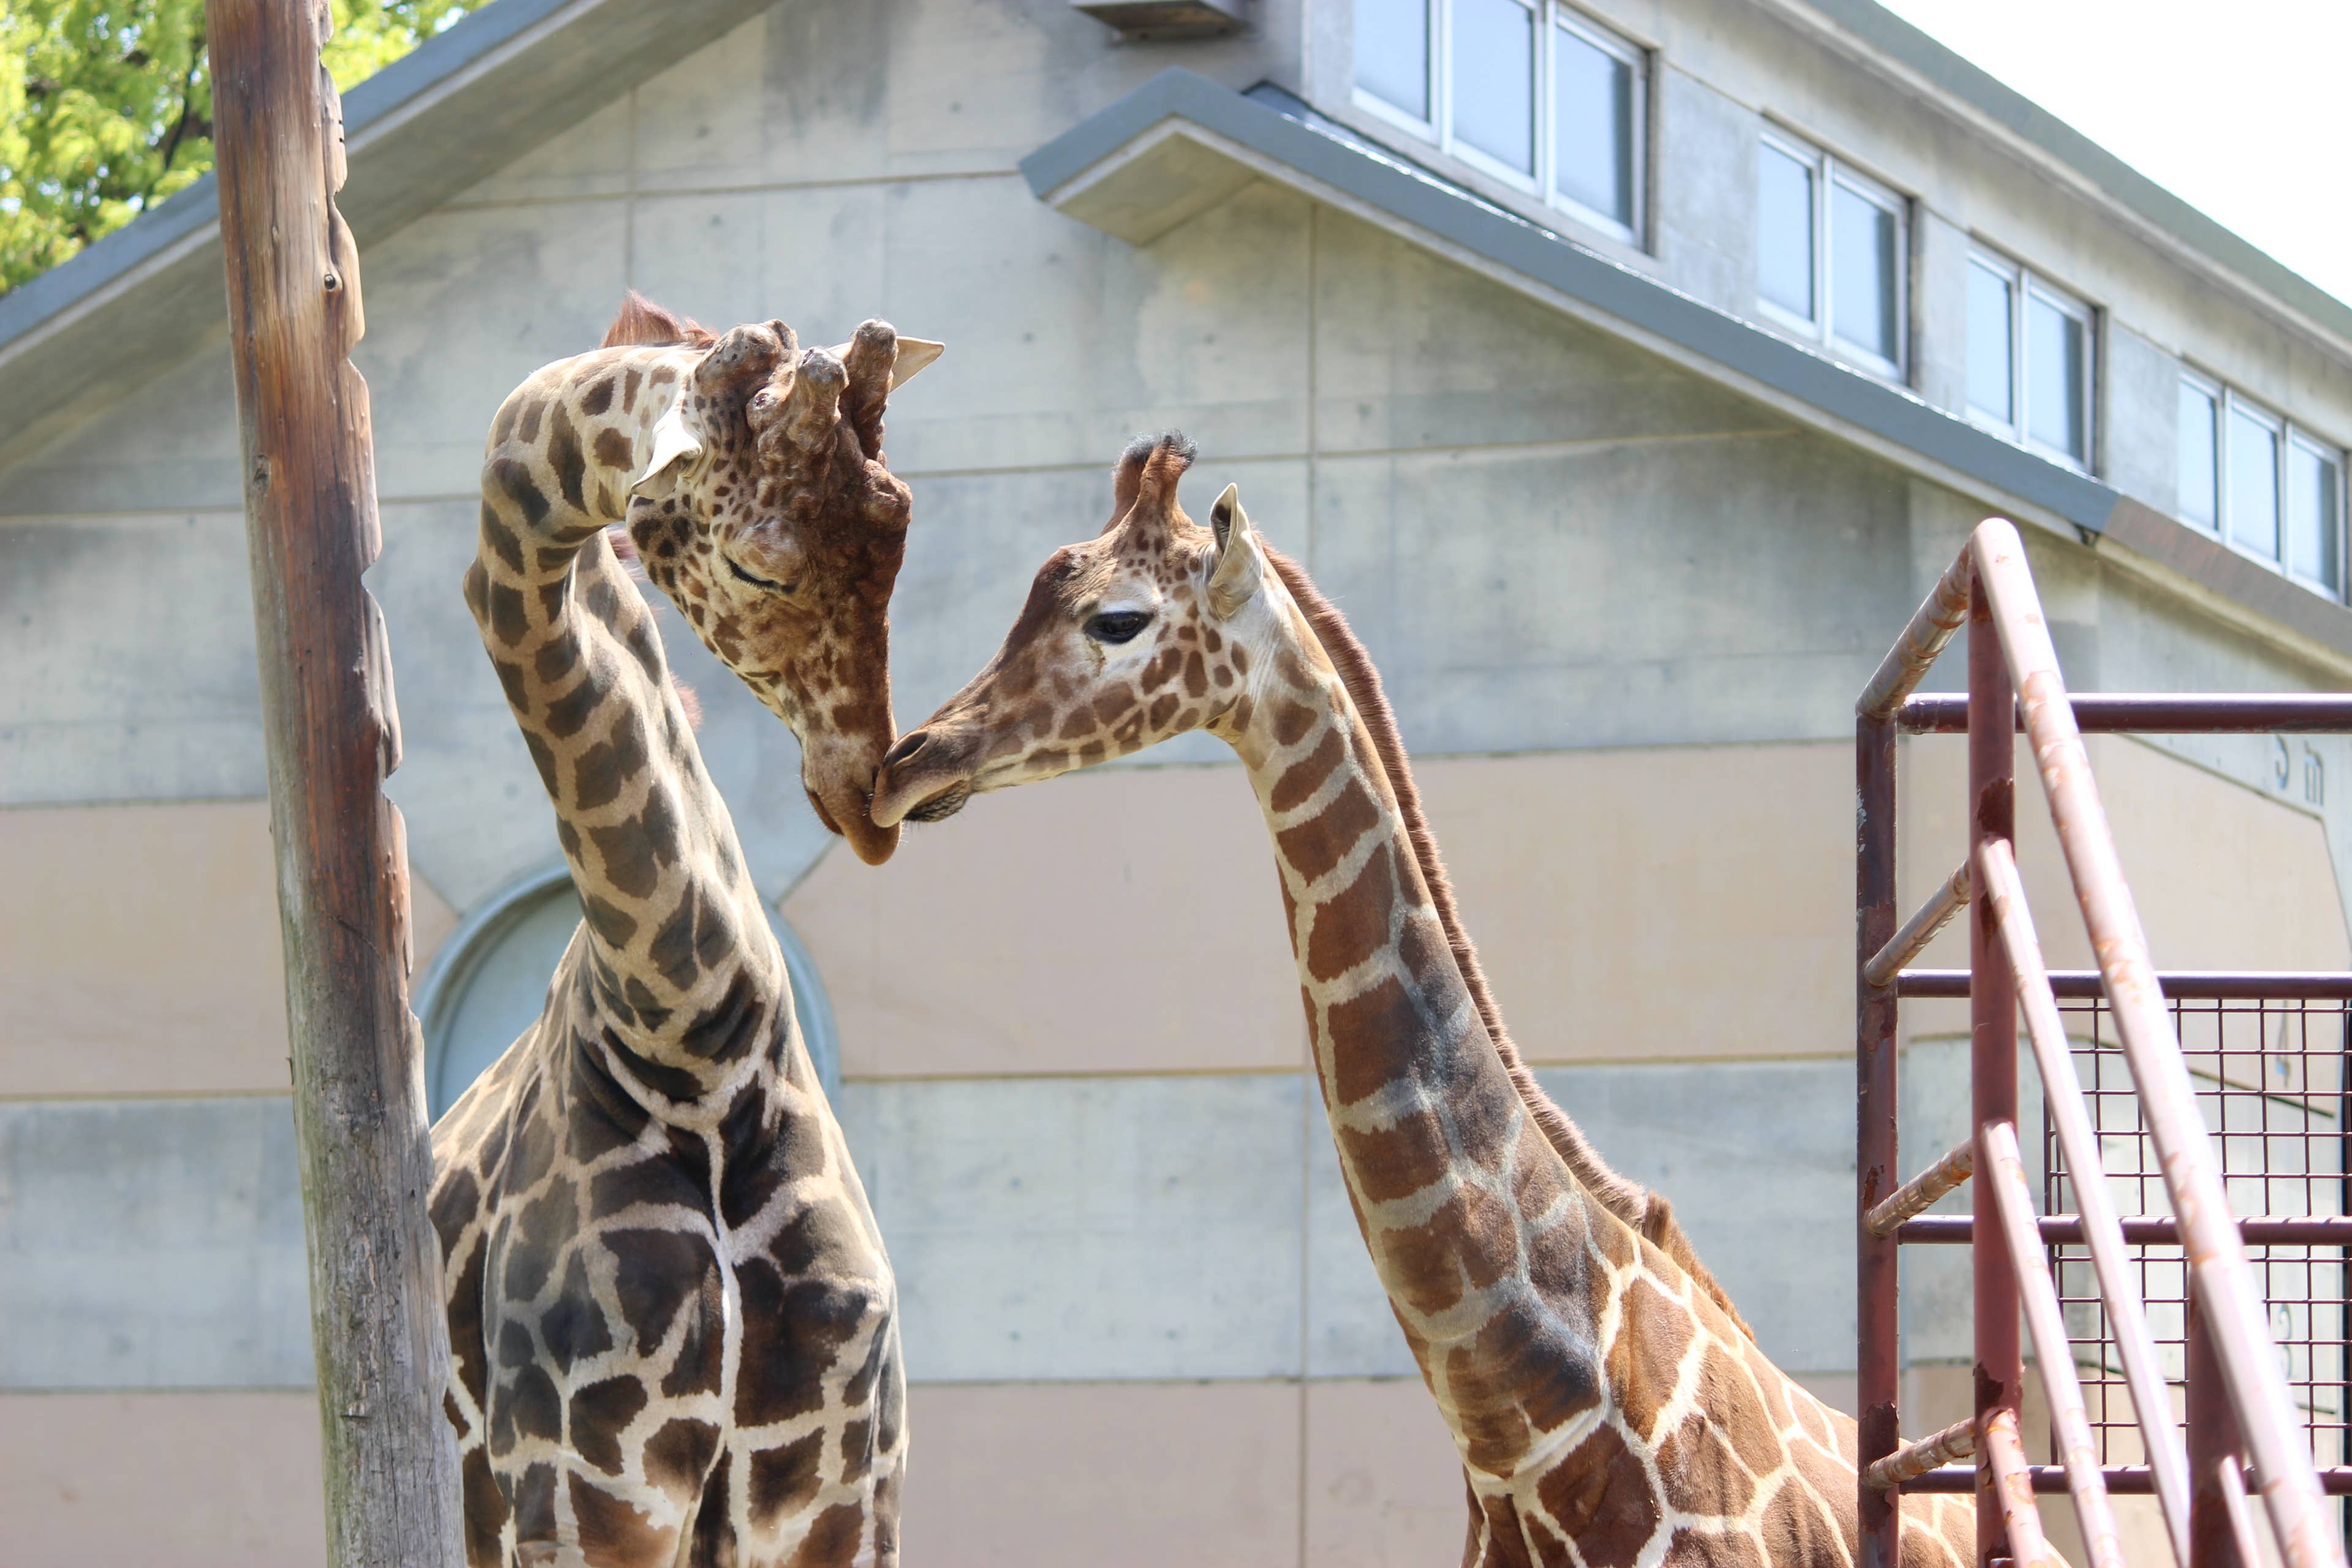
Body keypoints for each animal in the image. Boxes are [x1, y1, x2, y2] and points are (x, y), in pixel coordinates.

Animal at [428, 297, 941, 1568]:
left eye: (899, 528)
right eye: (759, 561)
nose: (872, 794)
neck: (688, 1032)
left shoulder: (841, 1498)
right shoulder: (586, 1499)